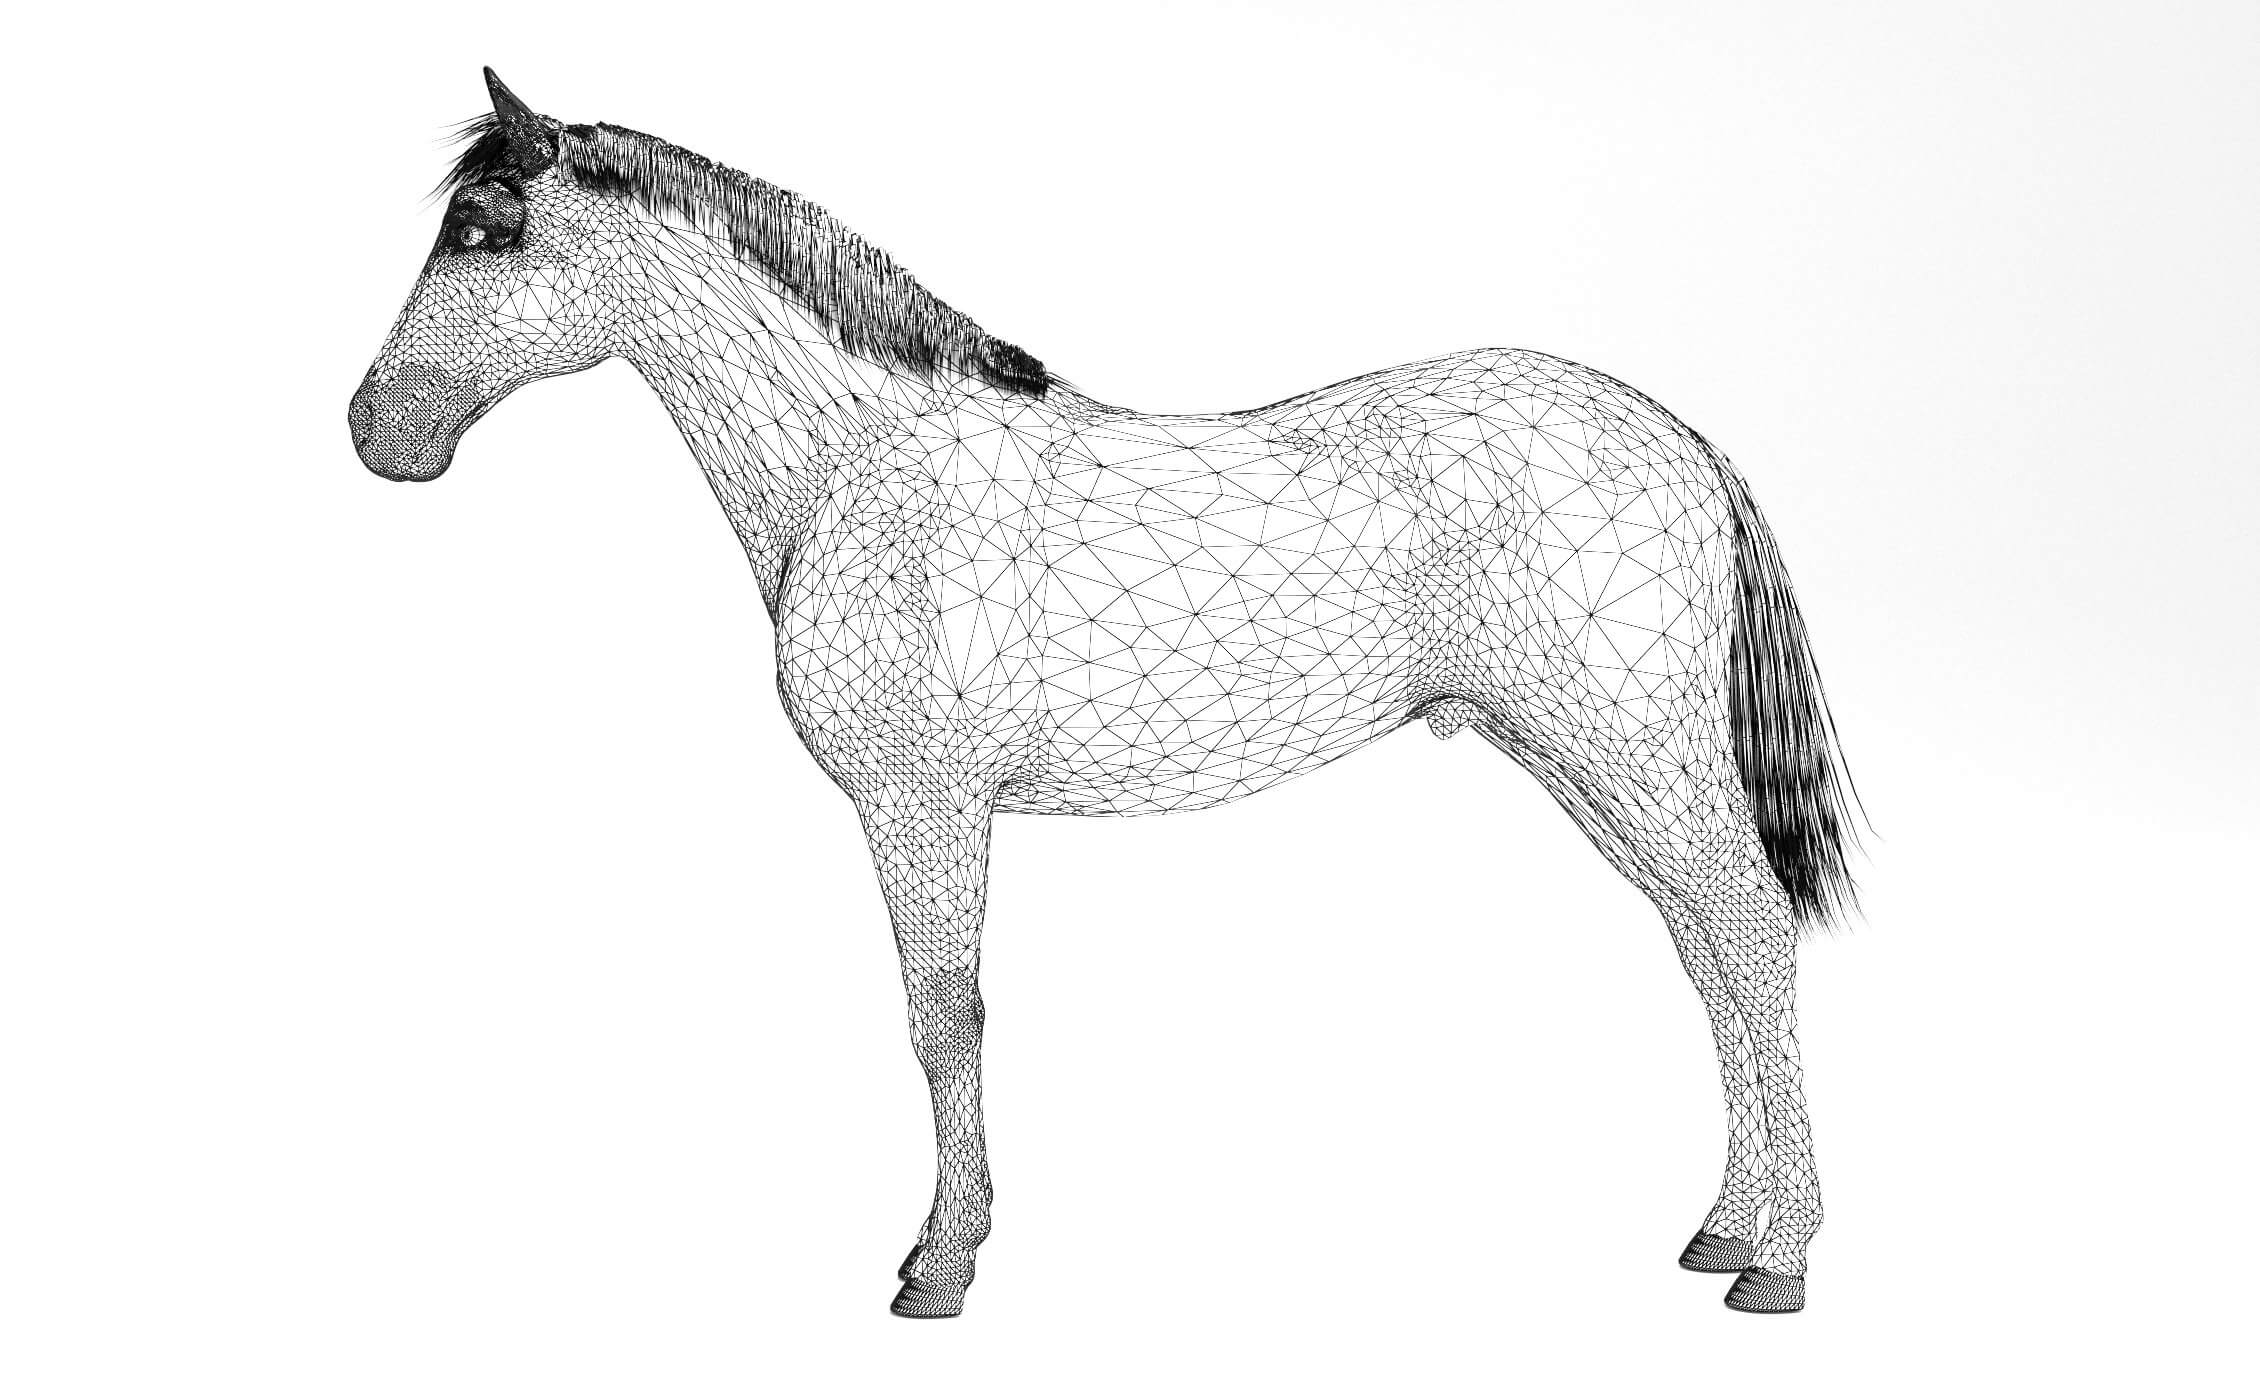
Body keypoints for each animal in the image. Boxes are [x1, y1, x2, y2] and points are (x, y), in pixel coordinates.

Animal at [348, 70, 1859, 1318]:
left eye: (483, 228)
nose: (377, 428)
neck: (866, 467)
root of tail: (1683, 440)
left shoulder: (924, 804)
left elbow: (943, 1017)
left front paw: (941, 1264)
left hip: (1632, 751)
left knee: (1749, 934)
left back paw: (1778, 1263)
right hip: (1592, 767)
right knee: (1708, 951)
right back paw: (1723, 1230)